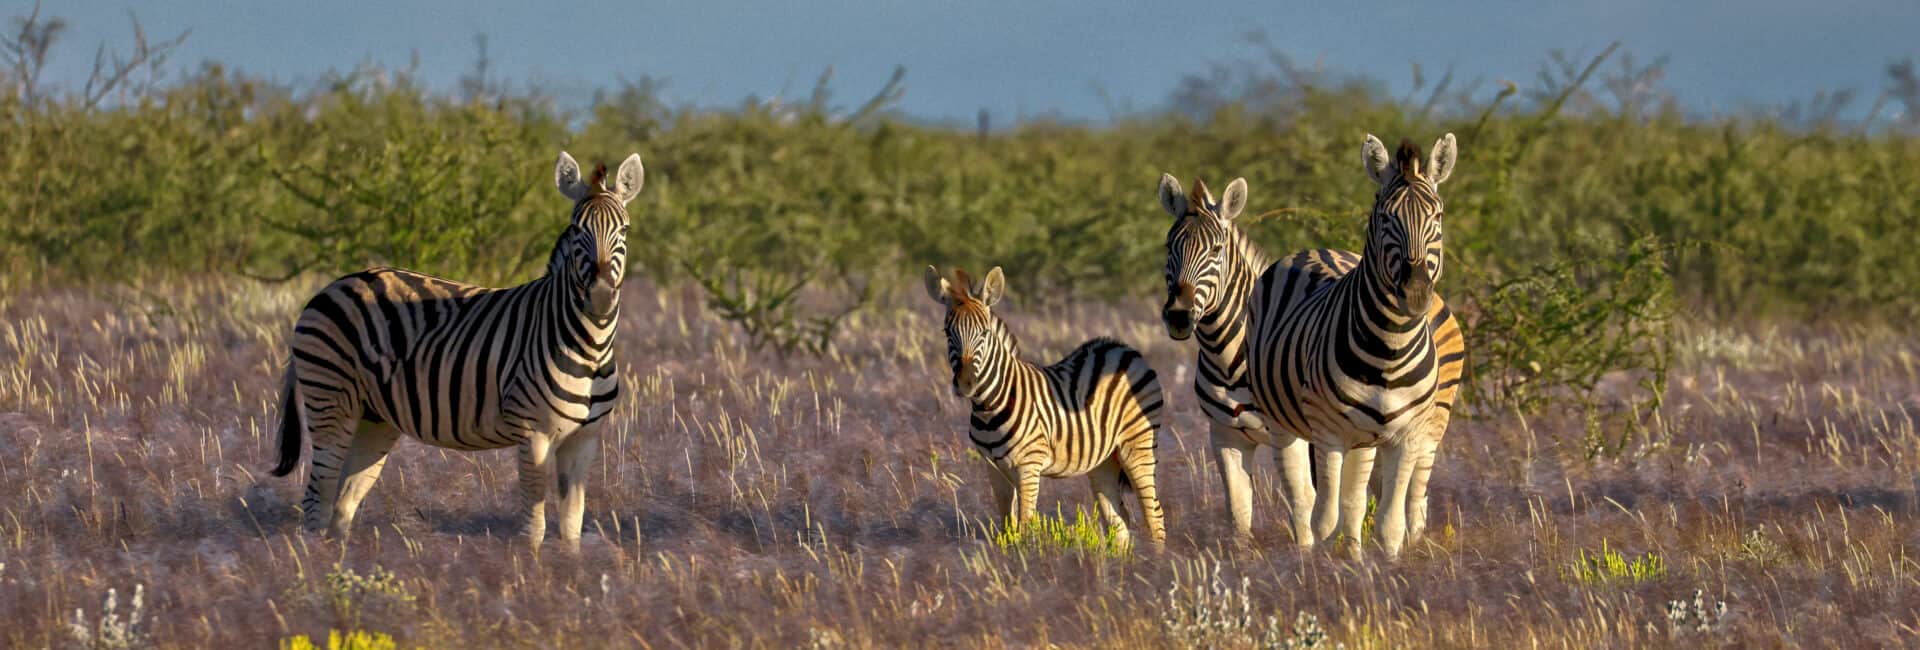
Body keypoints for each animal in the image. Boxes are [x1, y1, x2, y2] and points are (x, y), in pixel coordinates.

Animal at [270, 148, 645, 548]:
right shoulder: (534, 434)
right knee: (317, 499)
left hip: (375, 417)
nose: (601, 295)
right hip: (330, 399)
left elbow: (572, 526)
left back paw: (344, 561)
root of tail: (329, 288)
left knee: (344, 501)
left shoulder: (584, 440)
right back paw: (317, 561)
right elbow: (533, 527)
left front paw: (568, 566)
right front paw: (531, 566)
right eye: (576, 230)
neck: (590, 345)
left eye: (624, 230)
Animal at [917, 264, 1159, 548]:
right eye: (947, 333)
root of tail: (1121, 347)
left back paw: (1157, 559)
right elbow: (1006, 526)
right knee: (1119, 523)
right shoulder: (993, 468)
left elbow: (1024, 526)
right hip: (1104, 459)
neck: (989, 407)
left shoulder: (1028, 466)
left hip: (1137, 445)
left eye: (985, 333)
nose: (966, 384)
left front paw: (1028, 557)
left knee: (1154, 517)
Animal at [1152, 174, 1351, 548]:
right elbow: (1238, 508)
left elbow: (1302, 502)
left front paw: (1306, 557)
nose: (1179, 317)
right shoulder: (1224, 434)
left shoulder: (1290, 433)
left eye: (1216, 250)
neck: (1229, 357)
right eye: (1168, 247)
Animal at [1236, 133, 1459, 559]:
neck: (1391, 348)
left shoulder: (1407, 436)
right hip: (1283, 421)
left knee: (1354, 501)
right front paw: (1322, 570)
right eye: (1385, 217)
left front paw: (1379, 569)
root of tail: (1315, 248)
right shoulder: (1328, 433)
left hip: (1366, 437)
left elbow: (1388, 523)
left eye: (1437, 217)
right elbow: (1325, 517)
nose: (1416, 293)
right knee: (1304, 498)